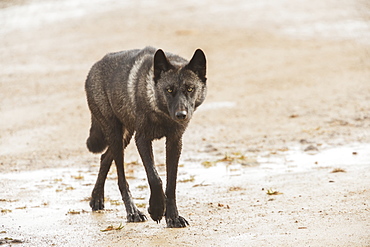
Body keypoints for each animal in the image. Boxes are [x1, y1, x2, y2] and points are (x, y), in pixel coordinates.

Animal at [85, 46, 207, 228]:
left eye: (190, 89)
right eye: (169, 89)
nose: (181, 115)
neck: (162, 114)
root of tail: (95, 67)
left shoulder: (175, 142)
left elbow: (171, 183)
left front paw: (173, 217)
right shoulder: (142, 139)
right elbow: (155, 178)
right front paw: (156, 209)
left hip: (125, 137)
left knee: (104, 157)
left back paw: (97, 199)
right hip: (116, 136)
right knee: (121, 178)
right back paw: (133, 212)